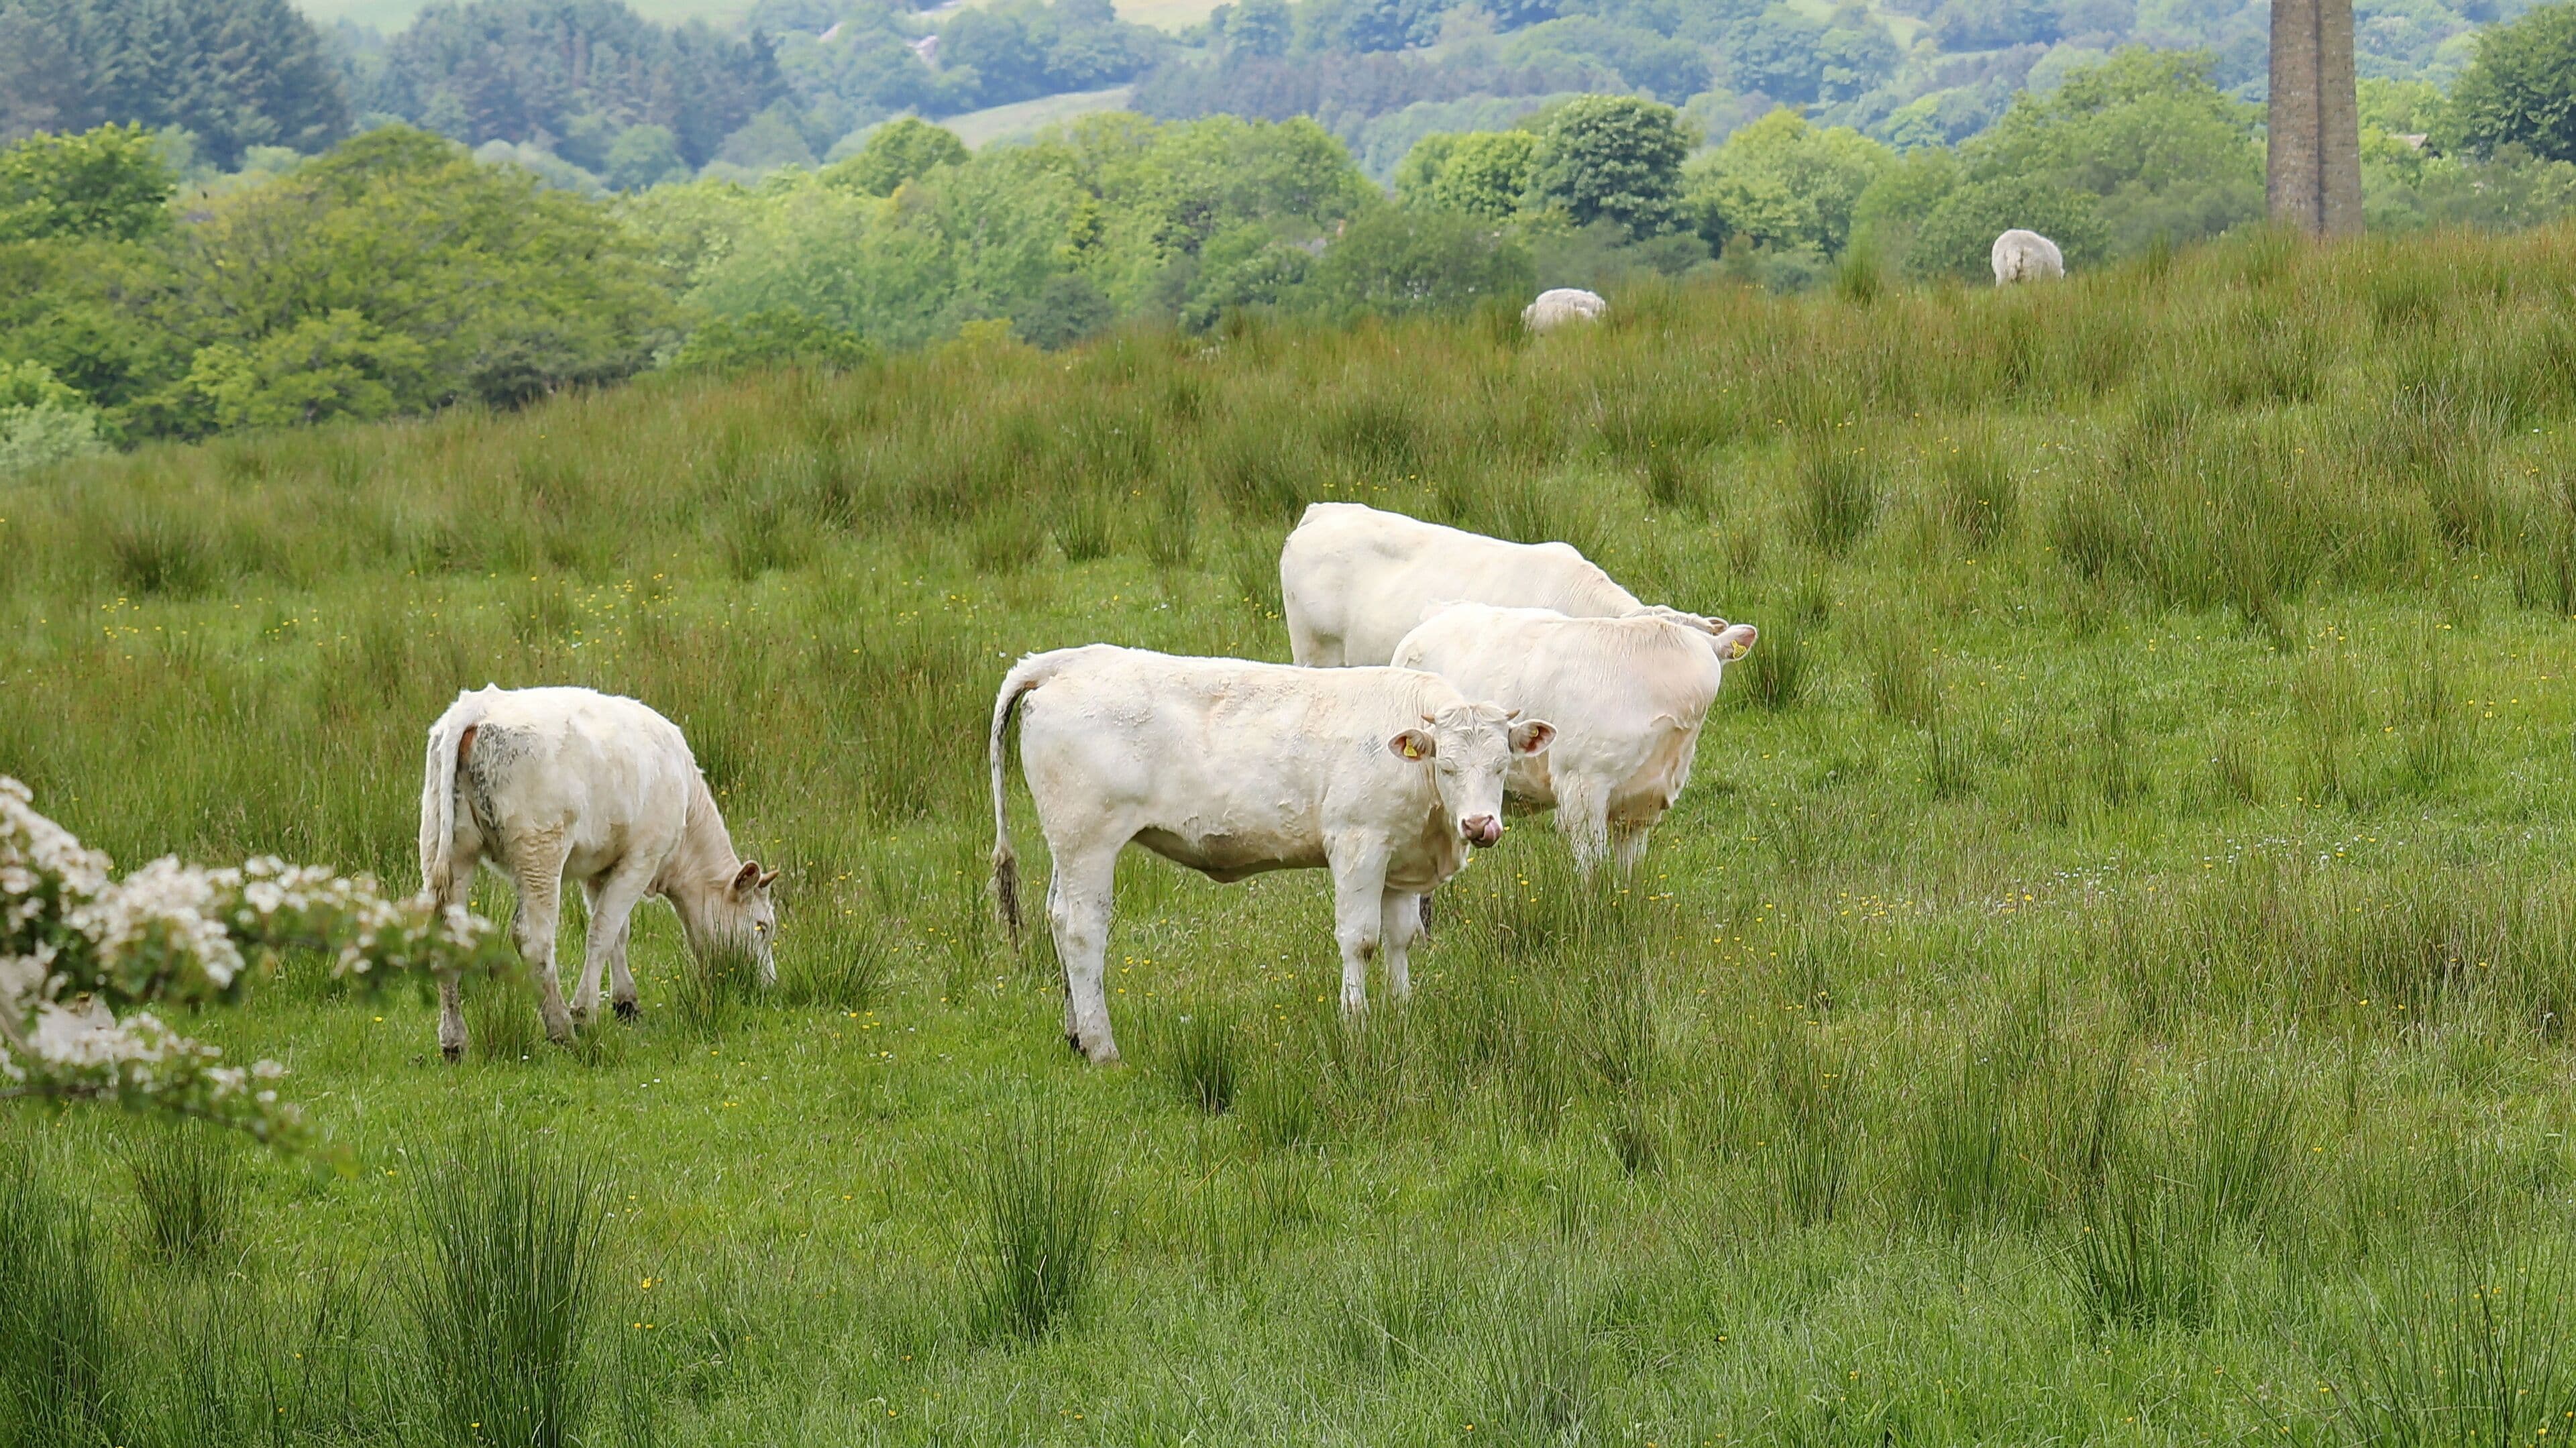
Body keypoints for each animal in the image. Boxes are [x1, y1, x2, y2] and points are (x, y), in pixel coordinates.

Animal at [419, 686, 778, 1060]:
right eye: (762, 926)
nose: (767, 986)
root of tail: (480, 705)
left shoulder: (599, 867)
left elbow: (619, 933)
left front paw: (626, 1002)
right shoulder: (641, 858)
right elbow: (603, 932)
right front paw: (585, 1012)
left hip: (444, 847)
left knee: (444, 936)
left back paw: (454, 1041)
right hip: (540, 850)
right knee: (534, 939)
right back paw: (562, 1030)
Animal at [986, 645, 1554, 1064]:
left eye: (1502, 764)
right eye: (1448, 766)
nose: (1480, 825)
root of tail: (1065, 660)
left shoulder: (1398, 859)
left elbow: (1400, 939)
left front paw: (1402, 1013)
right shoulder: (1358, 843)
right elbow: (1360, 940)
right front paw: (1356, 1025)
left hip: (1067, 844)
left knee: (1058, 917)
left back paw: (1076, 1035)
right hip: (1090, 840)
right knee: (1084, 930)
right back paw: (1103, 1048)